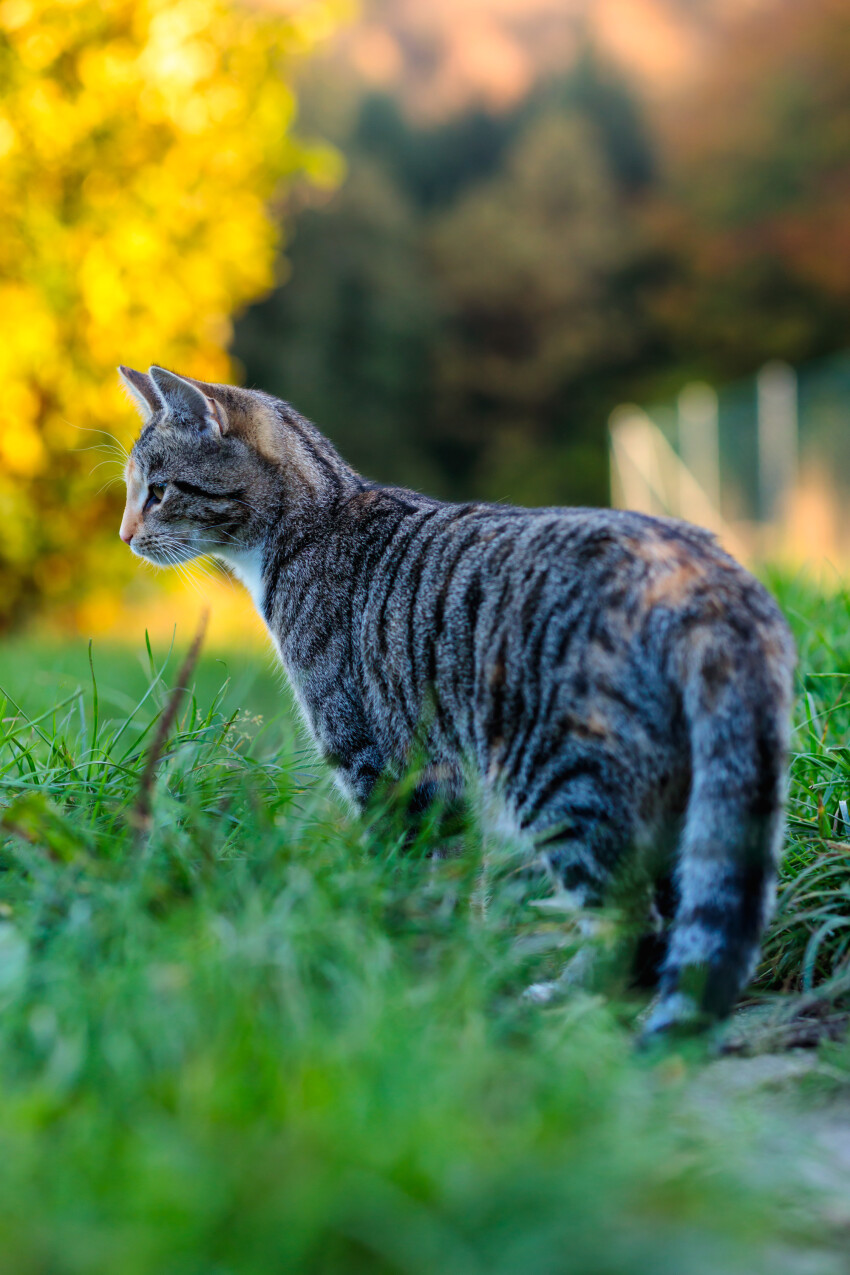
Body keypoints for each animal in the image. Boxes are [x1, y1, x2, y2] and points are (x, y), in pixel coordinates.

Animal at [116, 367, 795, 1035]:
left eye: (158, 491)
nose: (124, 536)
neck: (313, 522)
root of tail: (710, 577)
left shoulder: (376, 762)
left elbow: (405, 869)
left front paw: (403, 963)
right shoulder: (440, 776)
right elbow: (451, 874)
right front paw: (444, 961)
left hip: (560, 774)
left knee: (632, 915)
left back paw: (570, 998)